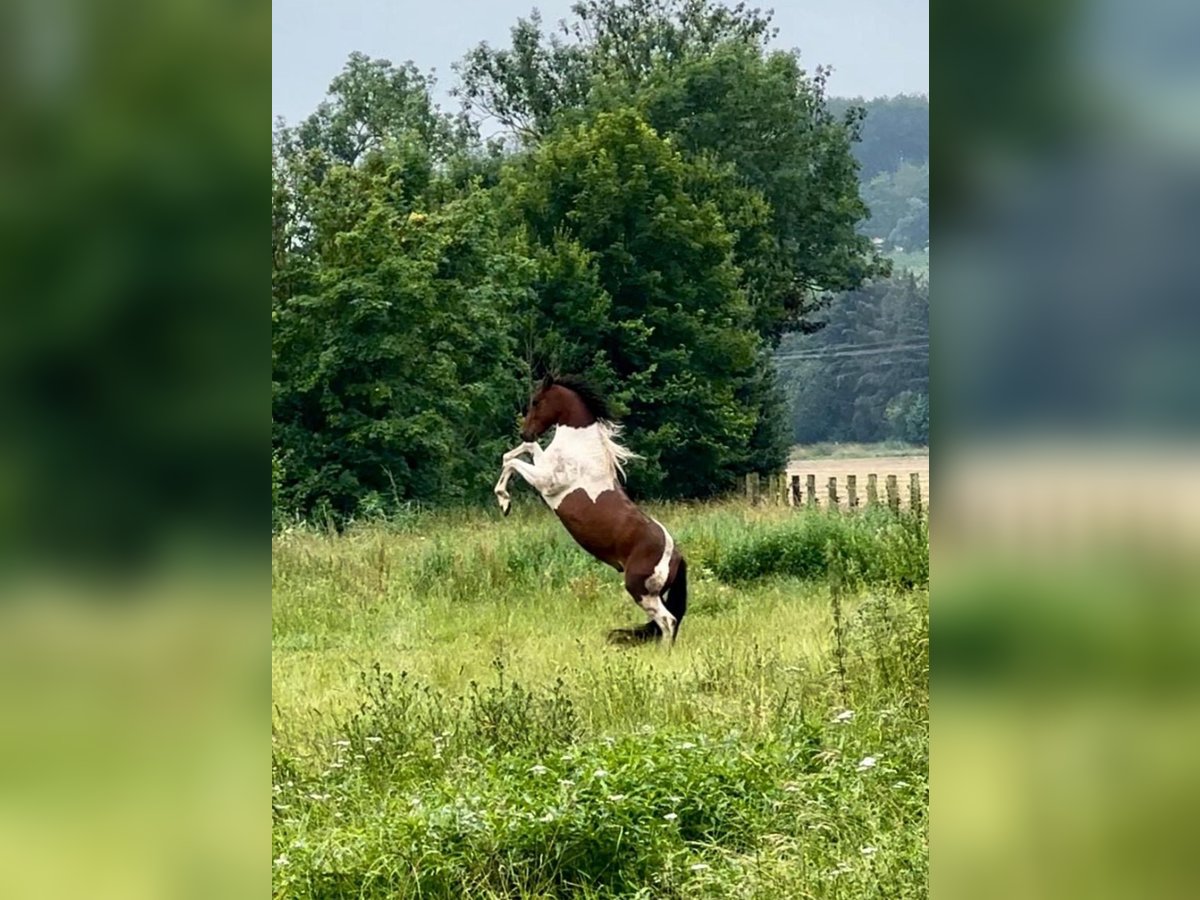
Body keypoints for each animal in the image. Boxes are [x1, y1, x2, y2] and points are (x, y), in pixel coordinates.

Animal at [494, 376, 686, 643]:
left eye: (536, 401)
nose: (526, 432)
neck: (580, 449)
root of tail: (676, 556)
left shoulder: (547, 483)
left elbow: (512, 461)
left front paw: (504, 501)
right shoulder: (542, 464)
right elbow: (518, 452)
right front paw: (504, 502)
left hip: (640, 591)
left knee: (668, 622)